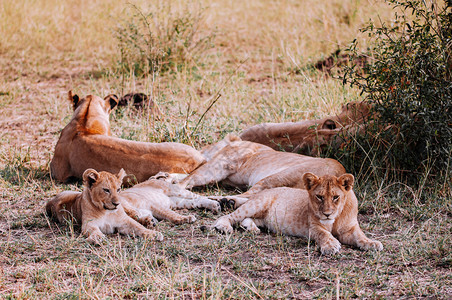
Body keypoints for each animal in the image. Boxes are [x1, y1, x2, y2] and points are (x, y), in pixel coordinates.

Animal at [178, 134, 344, 206]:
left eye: (208, 145)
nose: (200, 149)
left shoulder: (220, 165)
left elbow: (189, 178)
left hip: (276, 177)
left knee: (251, 195)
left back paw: (220, 200)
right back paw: (228, 202)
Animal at [211, 172, 382, 254]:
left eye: (335, 197)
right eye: (319, 197)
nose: (327, 214)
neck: (334, 220)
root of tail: (260, 192)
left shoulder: (350, 228)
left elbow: (360, 235)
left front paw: (371, 243)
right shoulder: (313, 227)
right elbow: (324, 234)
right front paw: (330, 245)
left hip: (264, 217)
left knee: (247, 219)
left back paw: (251, 228)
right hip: (257, 204)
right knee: (230, 216)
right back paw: (224, 226)